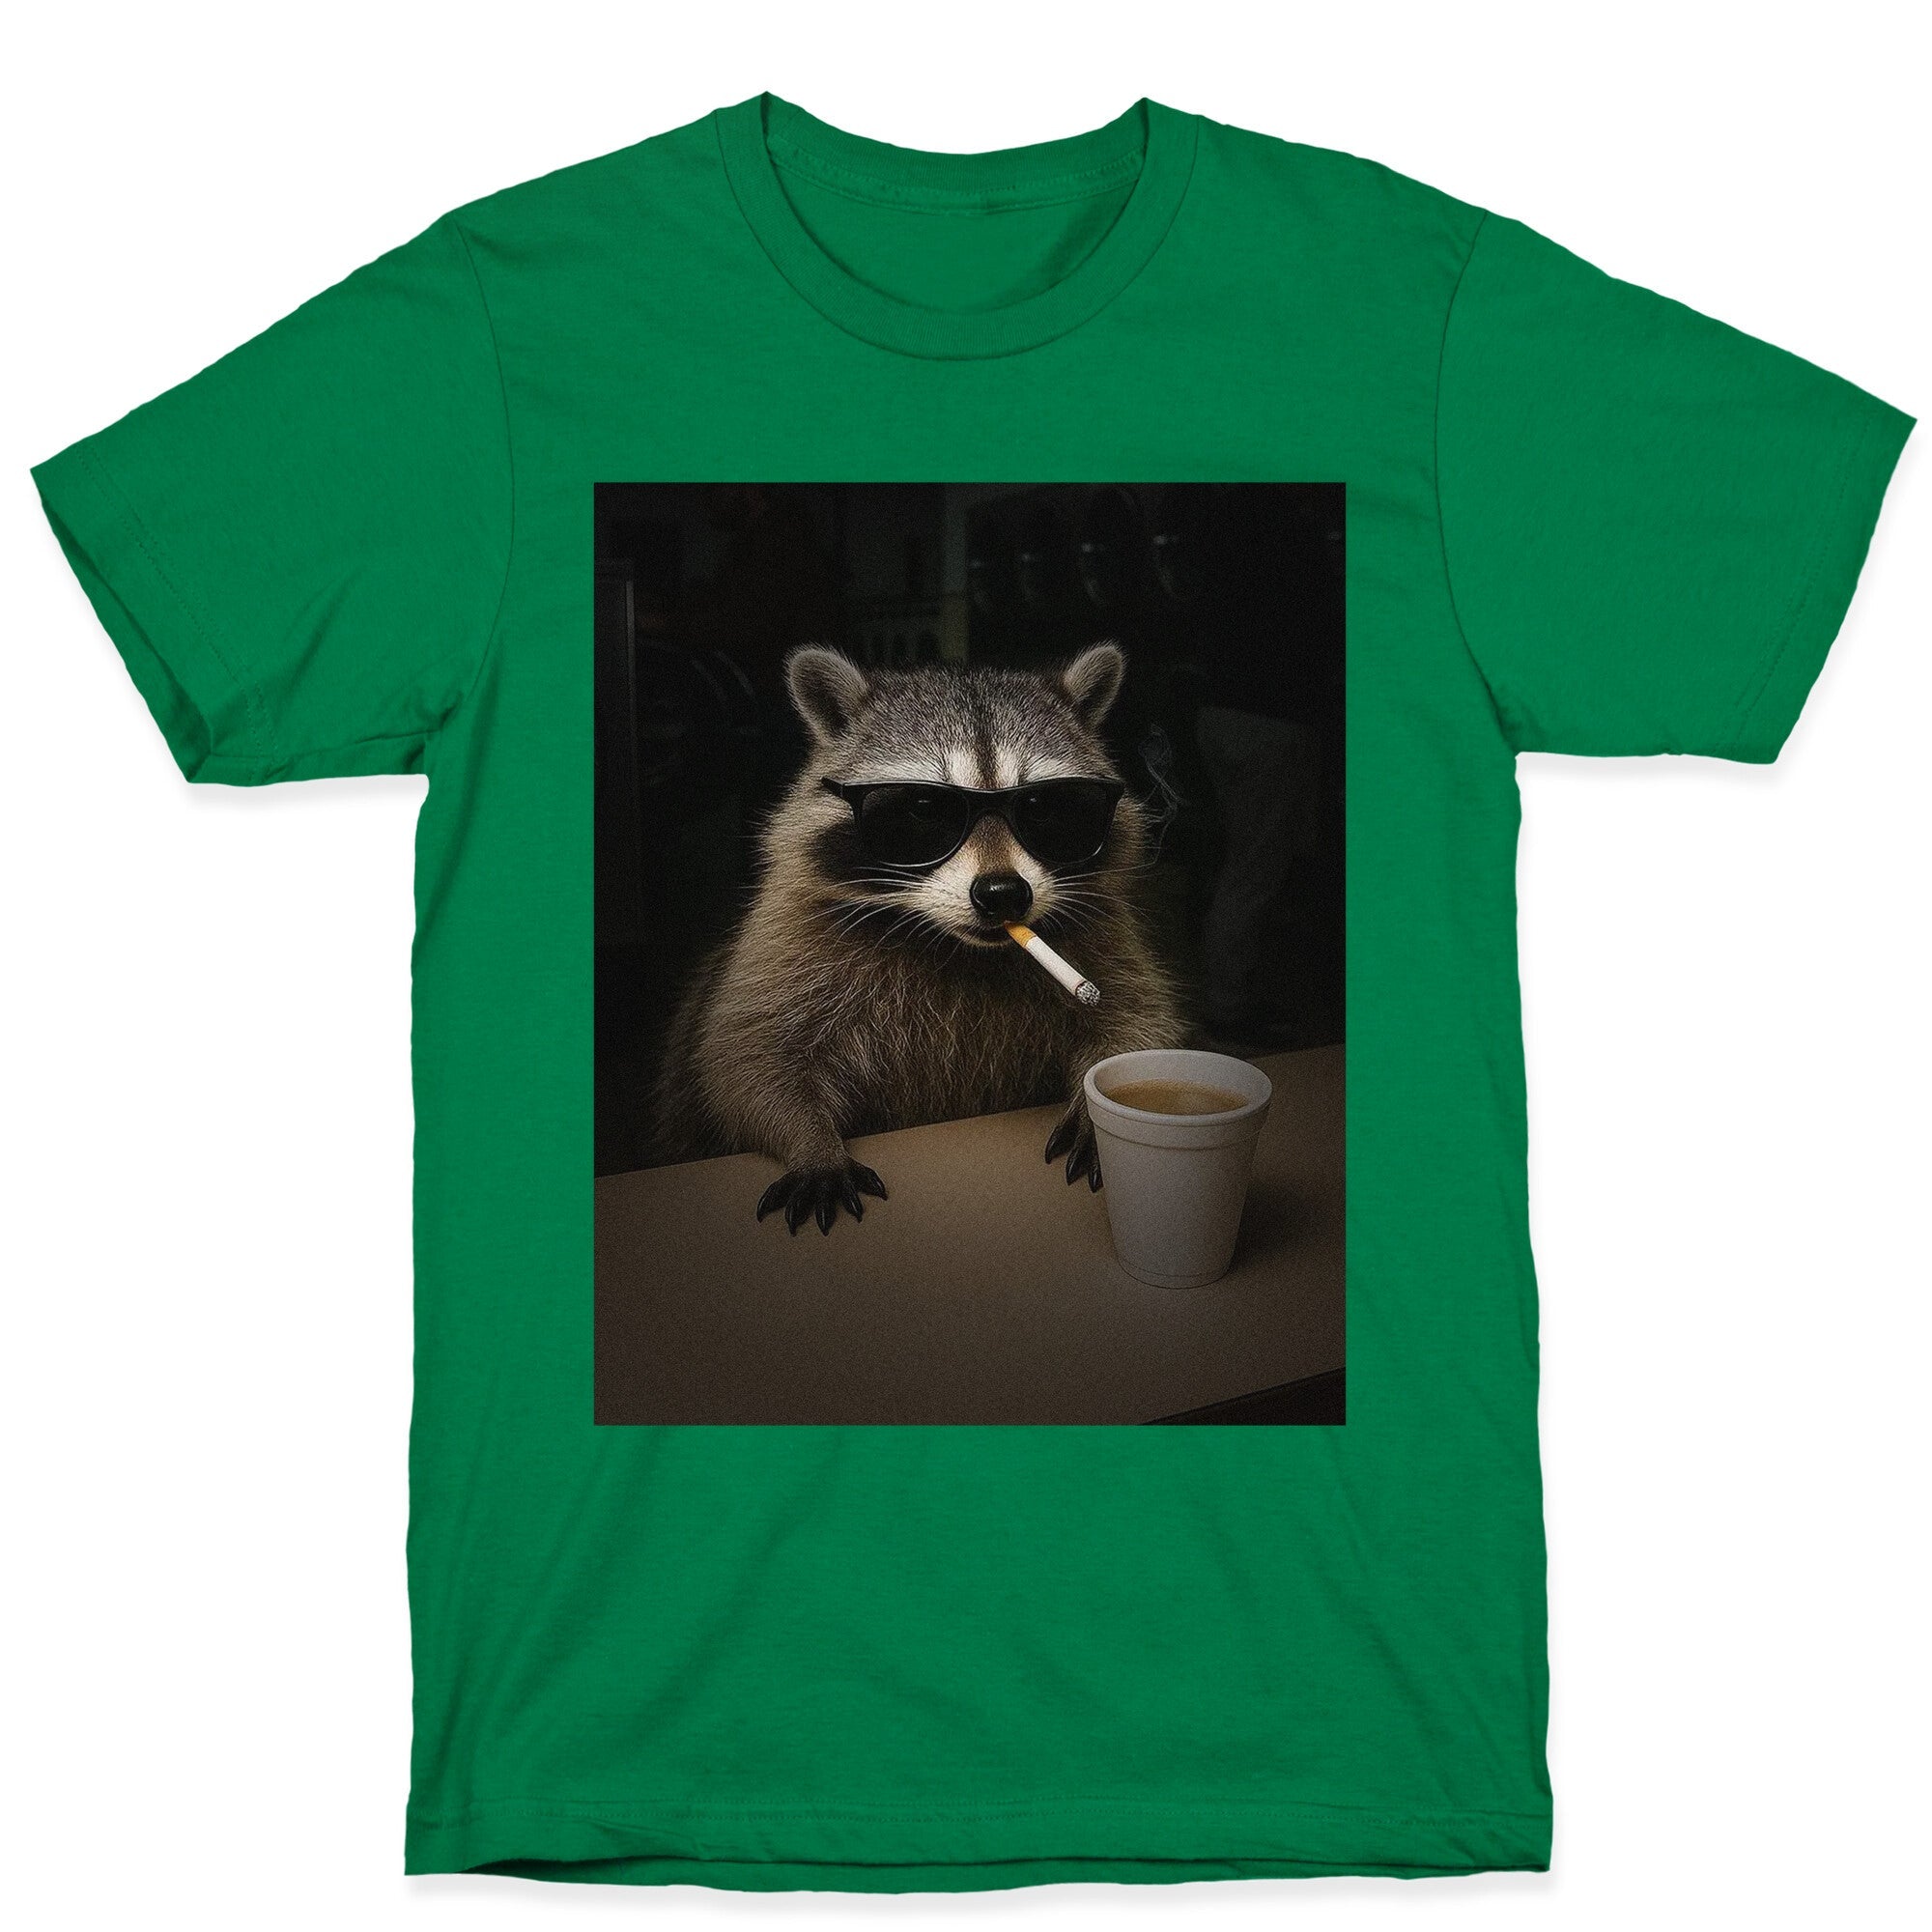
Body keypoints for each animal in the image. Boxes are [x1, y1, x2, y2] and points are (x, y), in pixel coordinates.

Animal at [652, 641, 1183, 1231]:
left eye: (1044, 808)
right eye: (924, 809)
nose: (1004, 894)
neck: (956, 944)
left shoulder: (1102, 933)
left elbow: (1136, 1021)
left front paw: (1097, 1107)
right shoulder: (786, 941)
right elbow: (745, 1058)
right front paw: (811, 1142)